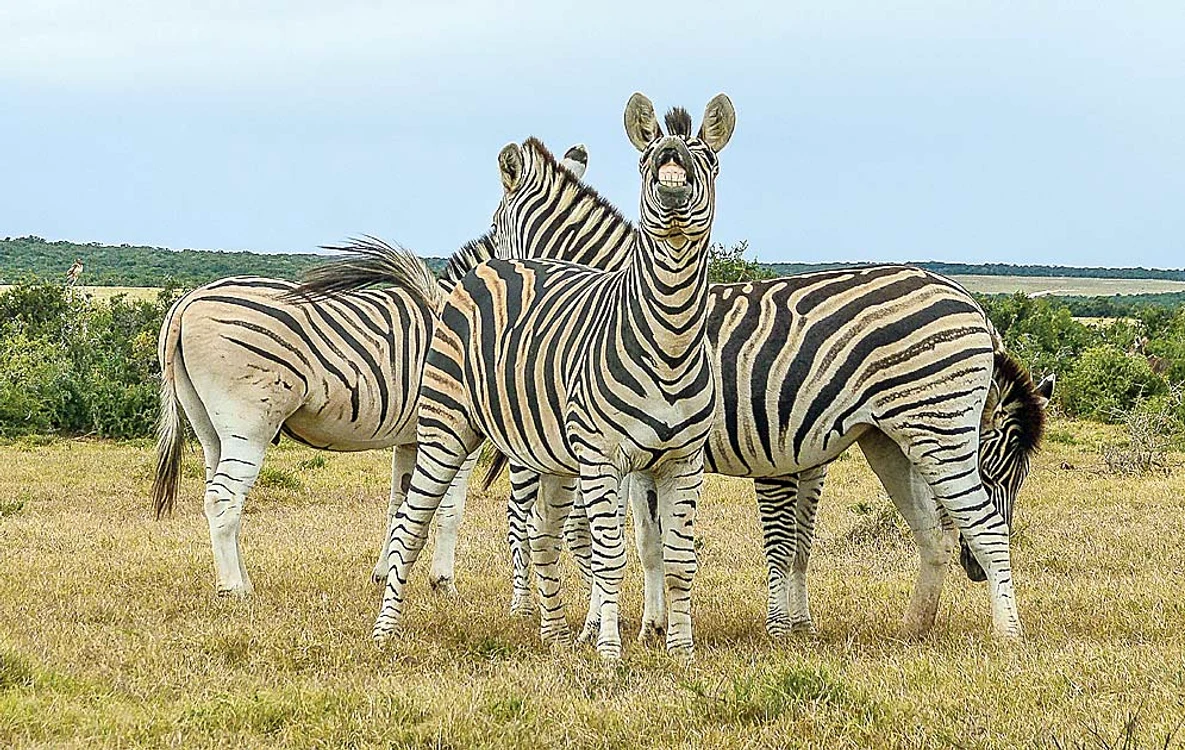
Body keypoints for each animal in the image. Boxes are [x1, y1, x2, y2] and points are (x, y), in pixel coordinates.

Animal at [150, 149, 589, 597]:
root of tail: (187, 301)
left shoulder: (414, 437)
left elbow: (402, 503)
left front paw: (385, 574)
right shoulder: (458, 429)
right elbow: (449, 510)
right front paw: (443, 582)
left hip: (208, 424)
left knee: (217, 494)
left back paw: (236, 578)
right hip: (249, 421)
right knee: (223, 498)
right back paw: (235, 589)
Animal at [358, 93, 736, 660]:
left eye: (708, 160)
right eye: (647, 160)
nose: (671, 153)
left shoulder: (673, 460)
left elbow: (663, 554)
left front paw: (661, 640)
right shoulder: (601, 457)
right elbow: (610, 546)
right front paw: (613, 635)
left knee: (526, 528)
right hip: (451, 429)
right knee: (418, 522)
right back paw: (388, 629)